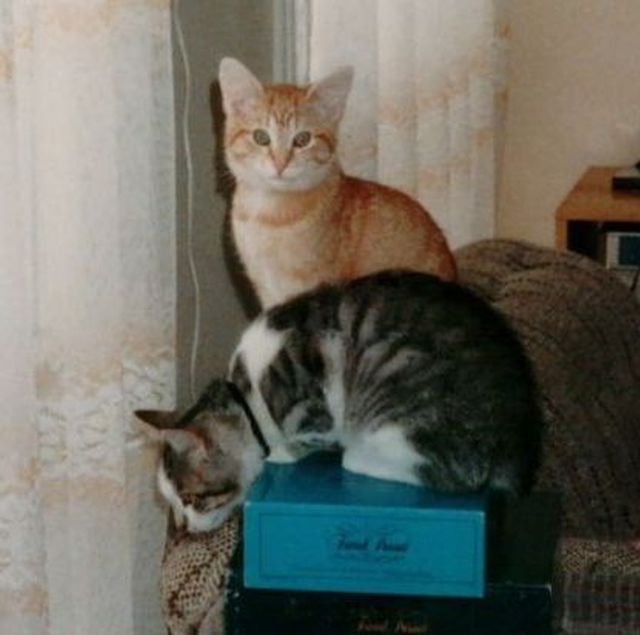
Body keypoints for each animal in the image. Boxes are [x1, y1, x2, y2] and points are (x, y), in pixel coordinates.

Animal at [137, 270, 543, 533]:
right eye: (170, 501)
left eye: (191, 499)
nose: (183, 529)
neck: (248, 396)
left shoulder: (317, 402)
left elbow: (303, 437)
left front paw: (283, 453)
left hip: (397, 392)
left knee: (444, 472)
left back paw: (359, 456)